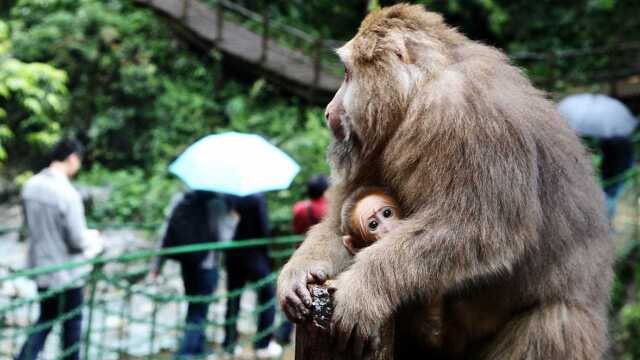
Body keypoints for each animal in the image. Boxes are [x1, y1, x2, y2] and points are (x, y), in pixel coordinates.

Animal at [278, 4, 612, 358]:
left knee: (551, 322)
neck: (420, 92)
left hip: (568, 335)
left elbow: (481, 227)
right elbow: (342, 216)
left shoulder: (468, 119)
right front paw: (302, 270)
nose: (328, 111)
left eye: (346, 73)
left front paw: (364, 287)